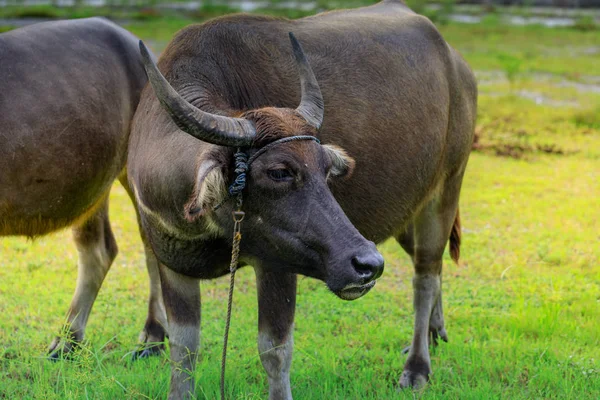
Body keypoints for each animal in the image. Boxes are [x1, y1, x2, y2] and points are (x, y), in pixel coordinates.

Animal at [129, 1, 476, 398]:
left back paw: (417, 366)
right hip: (409, 211)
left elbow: (275, 350)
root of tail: (457, 65)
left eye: (325, 167)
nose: (368, 264)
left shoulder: (277, 263)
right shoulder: (173, 264)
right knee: (433, 266)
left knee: (425, 276)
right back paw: (435, 332)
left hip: (447, 188)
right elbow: (184, 348)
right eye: (280, 171)